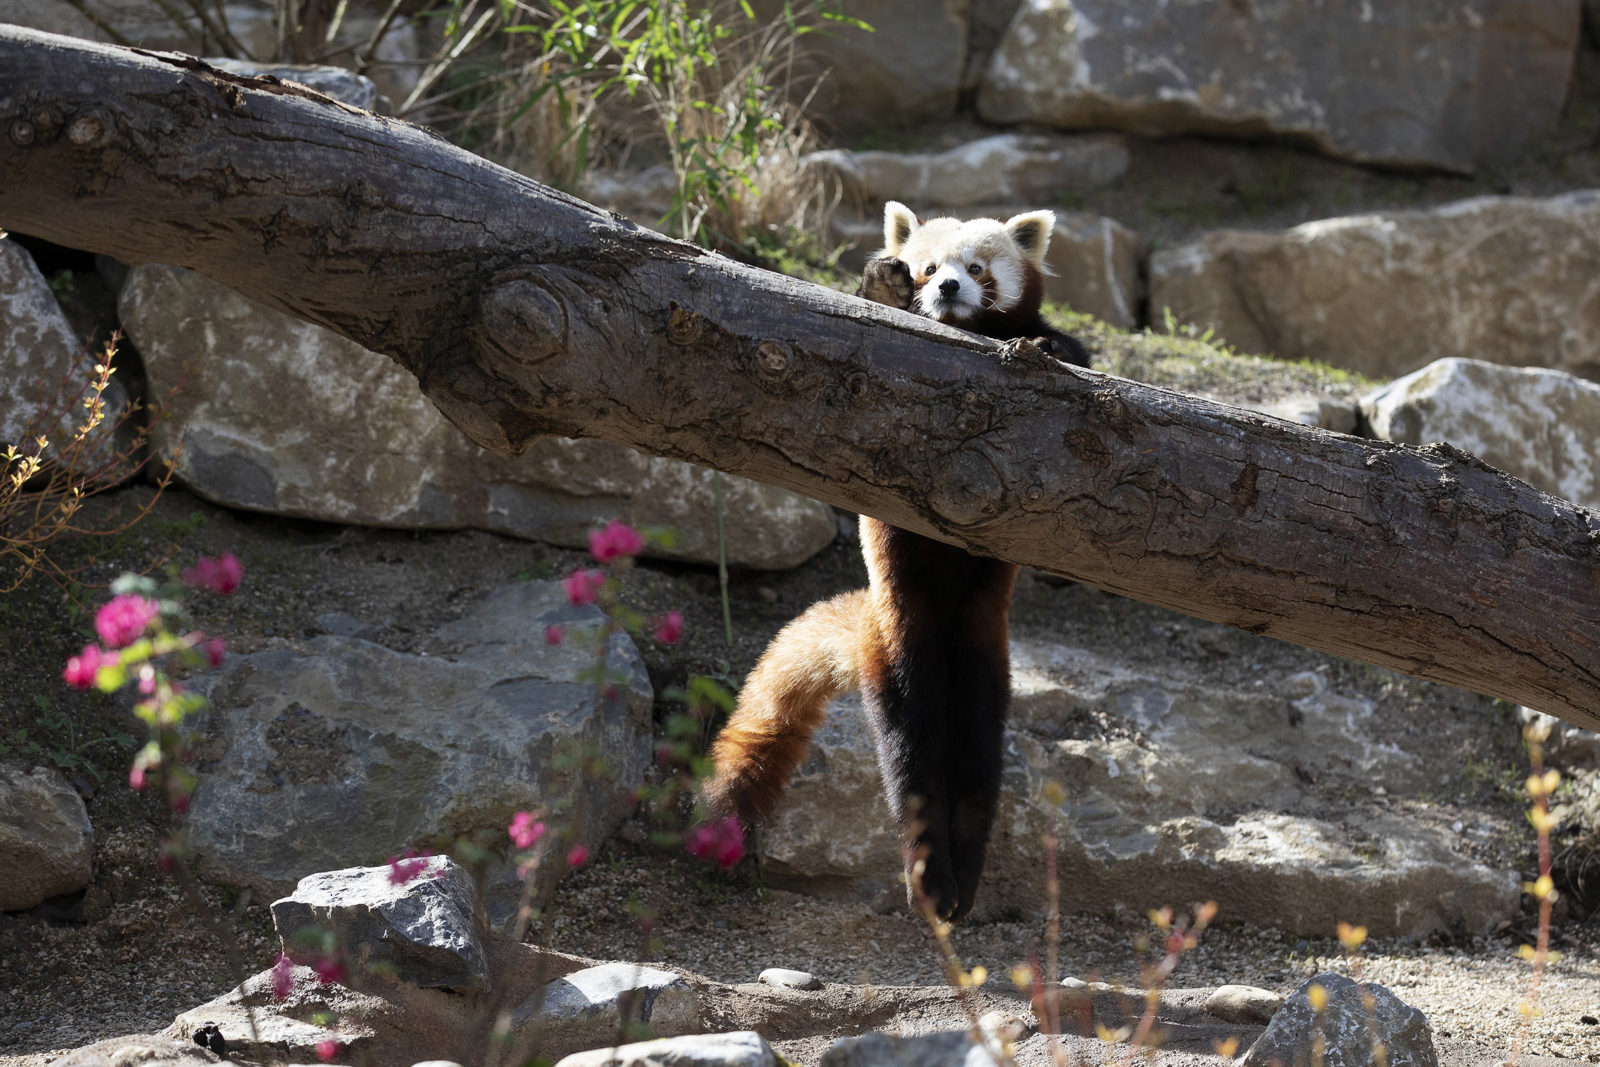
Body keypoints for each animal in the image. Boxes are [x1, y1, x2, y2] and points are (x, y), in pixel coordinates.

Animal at [707, 204, 1094, 921]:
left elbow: (1066, 349)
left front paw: (1051, 350)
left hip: (986, 656)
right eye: (926, 266)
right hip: (898, 650)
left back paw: (962, 872)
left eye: (977, 267)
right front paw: (880, 284)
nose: (947, 288)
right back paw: (930, 875)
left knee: (977, 763)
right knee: (910, 759)